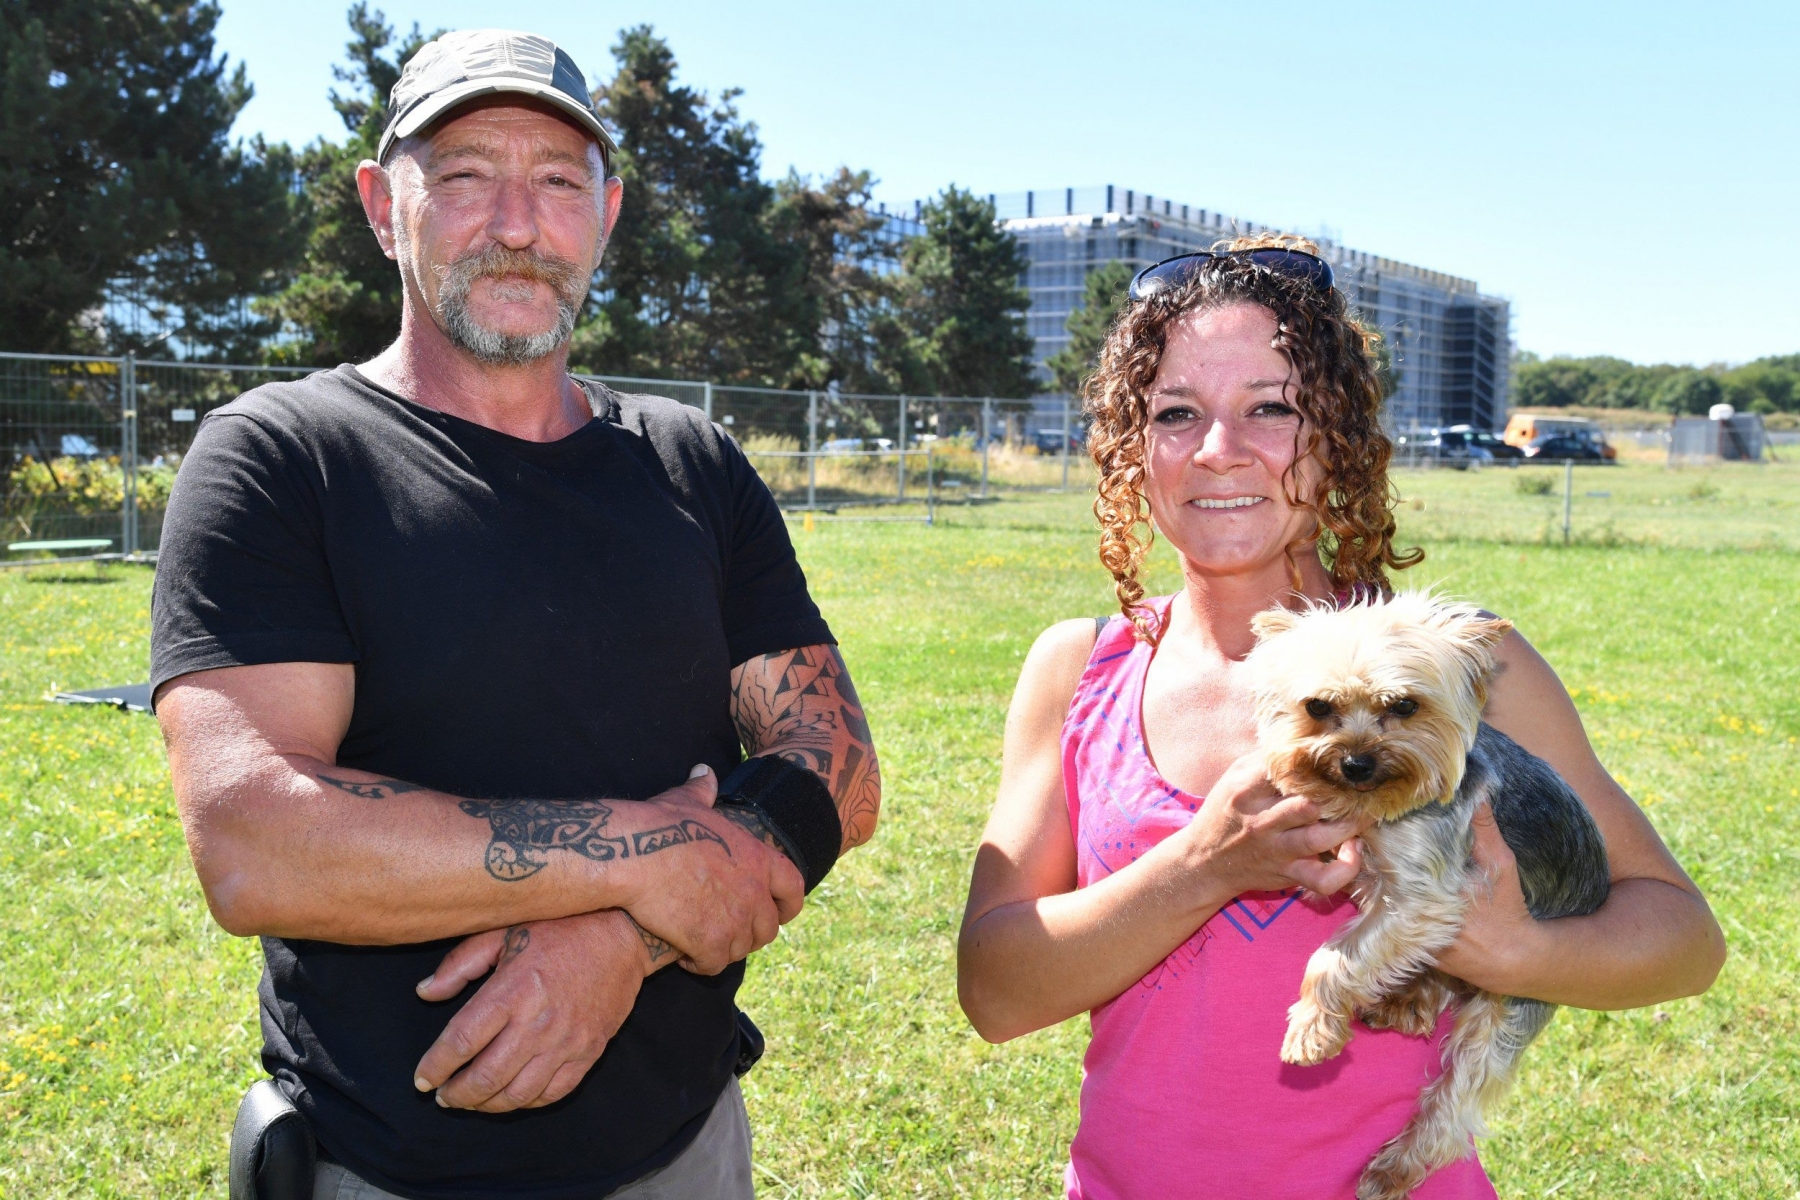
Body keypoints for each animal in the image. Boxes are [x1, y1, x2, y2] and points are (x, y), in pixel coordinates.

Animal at [1245, 590, 1612, 1200]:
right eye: (1317, 707)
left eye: (1405, 706)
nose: (1356, 763)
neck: (1378, 806)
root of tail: (1597, 890)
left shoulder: (1426, 894)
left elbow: (1335, 956)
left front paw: (1311, 1029)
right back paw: (1407, 999)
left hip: (1516, 997)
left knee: (1461, 1093)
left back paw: (1396, 1166)